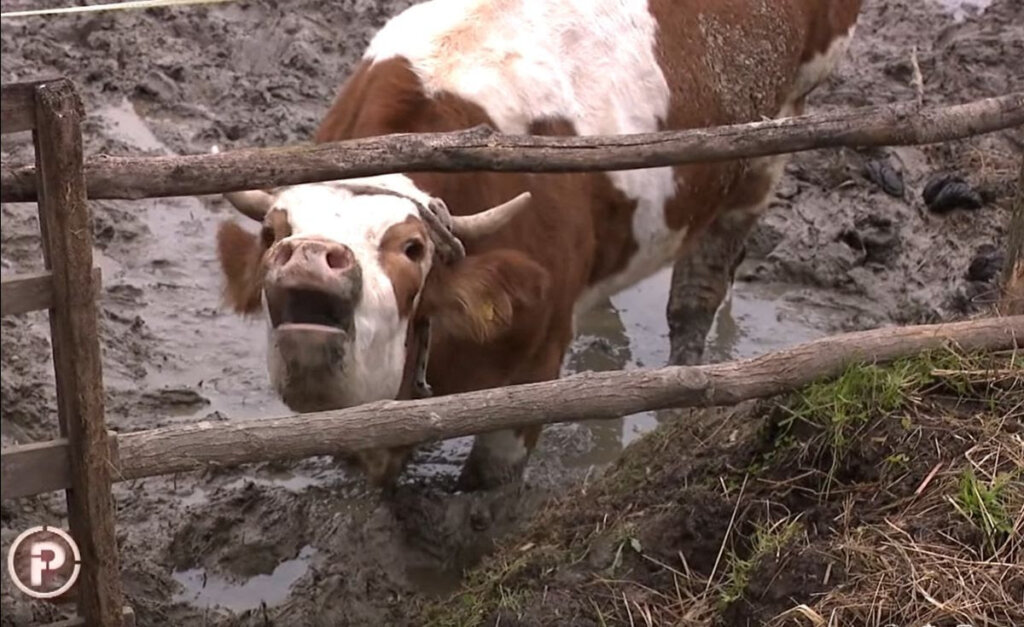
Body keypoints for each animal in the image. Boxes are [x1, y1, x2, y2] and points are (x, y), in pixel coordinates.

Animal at [214, 0, 864, 489]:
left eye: (412, 248)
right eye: (274, 232)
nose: (310, 256)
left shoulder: (528, 374)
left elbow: (482, 493)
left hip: (773, 135)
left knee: (699, 291)